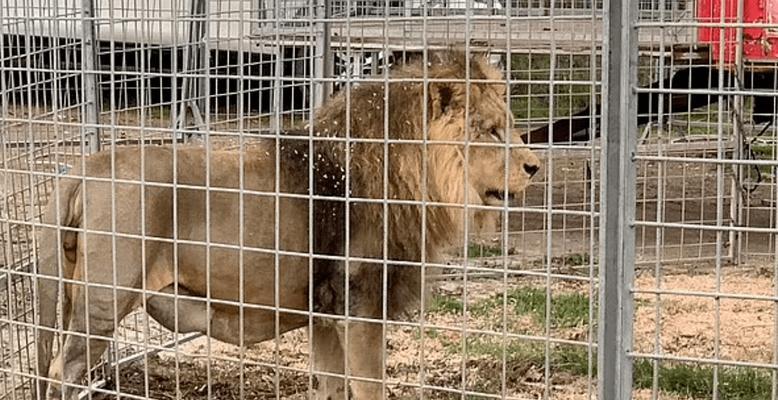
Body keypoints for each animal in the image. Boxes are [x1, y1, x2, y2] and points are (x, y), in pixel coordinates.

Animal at [34, 51, 540, 398]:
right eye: (491, 131)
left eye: (510, 125)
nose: (535, 167)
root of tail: (86, 167)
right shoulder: (359, 304)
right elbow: (369, 387)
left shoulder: (324, 311)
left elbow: (332, 386)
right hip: (103, 301)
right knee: (62, 371)